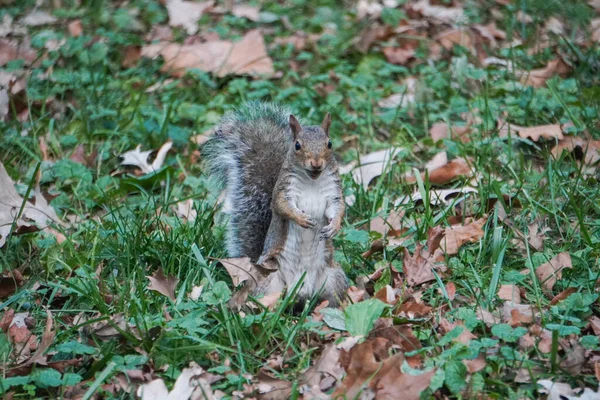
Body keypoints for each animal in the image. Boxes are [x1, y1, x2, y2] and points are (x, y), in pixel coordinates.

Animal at [205, 102, 350, 306]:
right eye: (297, 145)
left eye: (329, 144)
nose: (316, 163)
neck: (312, 180)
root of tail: (301, 292)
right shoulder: (283, 192)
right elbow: (283, 207)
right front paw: (302, 219)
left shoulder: (334, 194)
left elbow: (337, 209)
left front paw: (334, 226)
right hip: (270, 281)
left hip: (333, 277)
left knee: (333, 298)